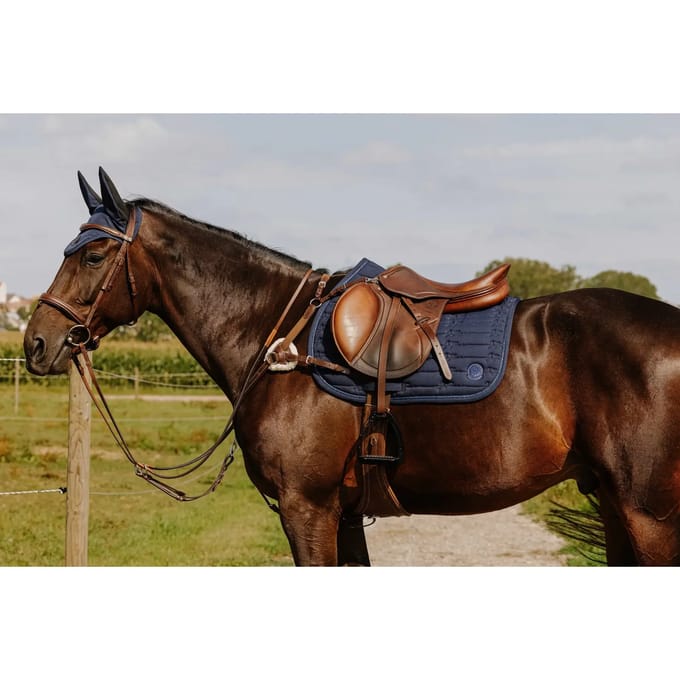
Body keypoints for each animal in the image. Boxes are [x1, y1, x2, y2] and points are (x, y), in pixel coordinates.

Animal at [23, 168, 680, 566]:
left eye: (94, 254)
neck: (277, 338)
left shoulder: (306, 508)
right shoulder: (341, 514)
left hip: (649, 517)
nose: (35, 342)